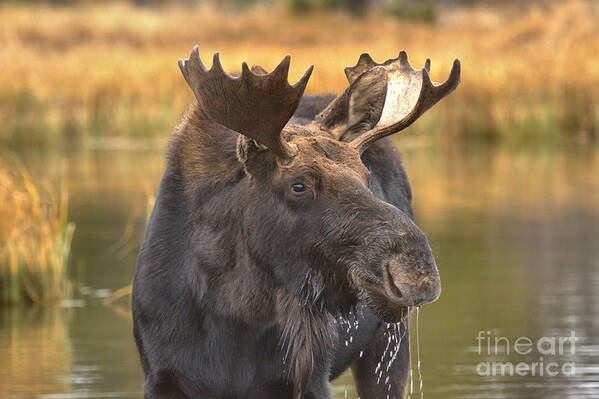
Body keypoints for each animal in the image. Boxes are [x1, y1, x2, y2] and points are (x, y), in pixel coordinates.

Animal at [134, 47, 462, 399]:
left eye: (365, 176)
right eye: (299, 185)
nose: (417, 273)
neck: (232, 310)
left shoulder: (307, 379)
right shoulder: (163, 376)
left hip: (390, 347)